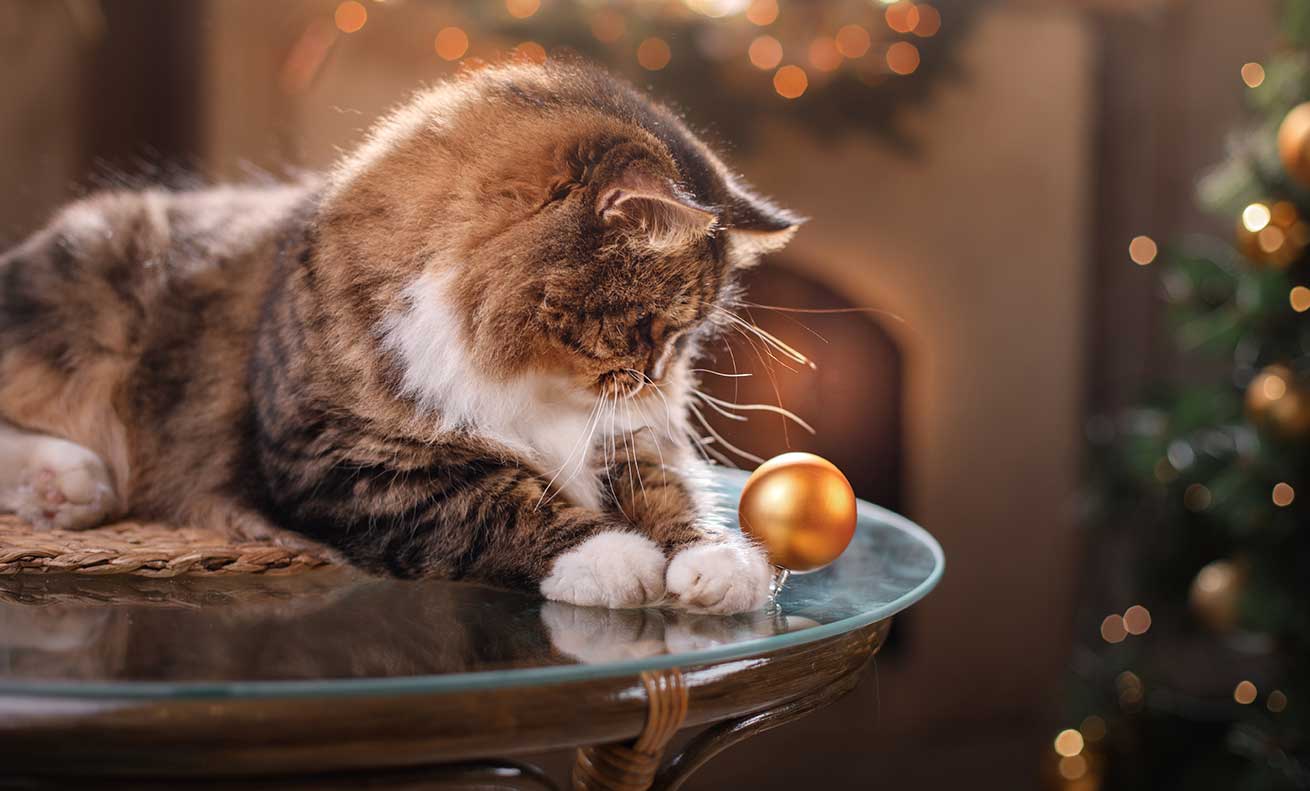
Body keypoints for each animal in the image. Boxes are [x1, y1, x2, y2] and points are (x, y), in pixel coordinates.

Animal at [0, 64, 796, 615]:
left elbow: (672, 493)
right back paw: (69, 484)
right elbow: (496, 501)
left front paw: (720, 566)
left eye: (685, 337)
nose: (660, 379)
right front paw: (611, 560)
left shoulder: (622, 437)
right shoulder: (339, 462)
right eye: (649, 327)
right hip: (86, 306)